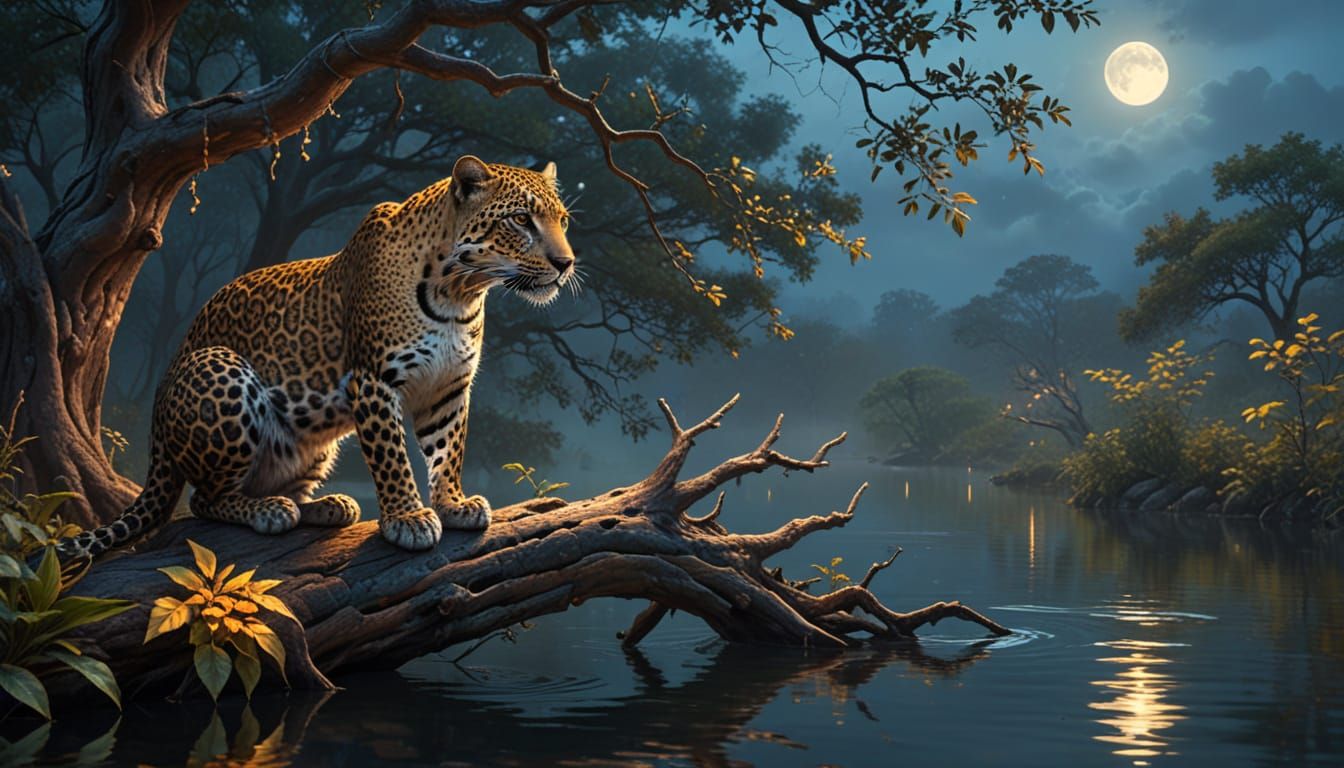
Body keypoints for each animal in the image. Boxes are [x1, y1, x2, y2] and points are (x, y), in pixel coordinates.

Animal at [57, 155, 576, 558]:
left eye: (563, 221)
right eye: (520, 220)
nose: (565, 263)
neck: (460, 292)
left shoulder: (448, 387)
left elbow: (449, 449)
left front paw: (453, 504)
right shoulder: (373, 379)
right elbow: (392, 456)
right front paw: (408, 518)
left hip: (311, 443)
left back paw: (328, 506)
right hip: (222, 369)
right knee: (205, 499)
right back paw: (269, 511)